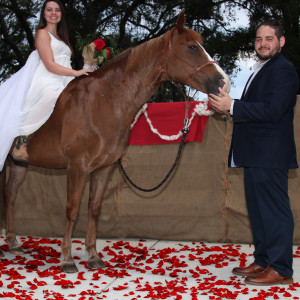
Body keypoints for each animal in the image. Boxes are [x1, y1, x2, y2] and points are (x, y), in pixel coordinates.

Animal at [0, 10, 230, 274]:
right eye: (192, 47)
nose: (223, 83)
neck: (102, 102)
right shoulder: (77, 167)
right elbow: (72, 209)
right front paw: (67, 259)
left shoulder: (104, 168)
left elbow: (94, 208)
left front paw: (93, 255)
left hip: (18, 164)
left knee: (10, 196)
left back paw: (13, 243)